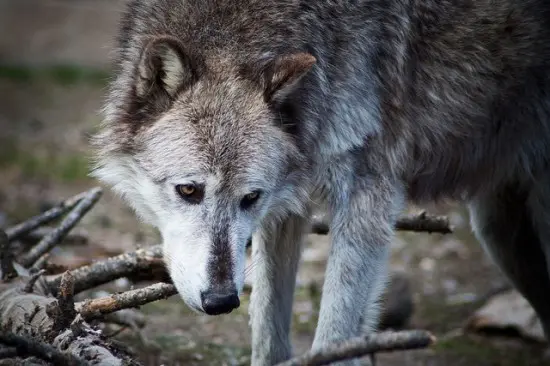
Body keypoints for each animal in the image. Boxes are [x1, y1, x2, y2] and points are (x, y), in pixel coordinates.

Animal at [90, 0, 550, 364]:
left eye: (250, 197)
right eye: (189, 190)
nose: (221, 301)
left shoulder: (368, 199)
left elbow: (333, 339)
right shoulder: (285, 211)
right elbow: (268, 336)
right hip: (498, 231)